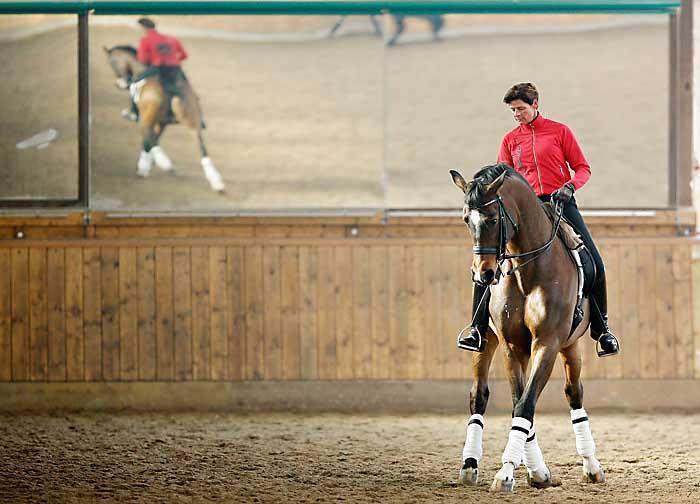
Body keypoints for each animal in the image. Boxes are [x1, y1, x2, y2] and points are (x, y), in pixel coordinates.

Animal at [103, 45, 224, 192]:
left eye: (112, 63)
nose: (120, 84)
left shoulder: (152, 122)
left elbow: (149, 142)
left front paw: (144, 167)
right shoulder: (162, 123)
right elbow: (153, 140)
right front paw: (148, 164)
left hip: (146, 119)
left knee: (149, 139)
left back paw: (164, 166)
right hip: (193, 120)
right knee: (202, 148)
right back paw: (216, 182)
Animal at [452, 164, 604, 492]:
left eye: (493, 218)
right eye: (466, 219)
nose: (483, 274)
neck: (529, 272)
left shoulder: (547, 343)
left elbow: (524, 405)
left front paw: (510, 472)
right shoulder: (512, 347)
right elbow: (519, 404)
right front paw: (529, 470)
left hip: (571, 345)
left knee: (574, 393)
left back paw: (591, 465)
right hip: (486, 340)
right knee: (477, 396)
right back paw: (469, 465)